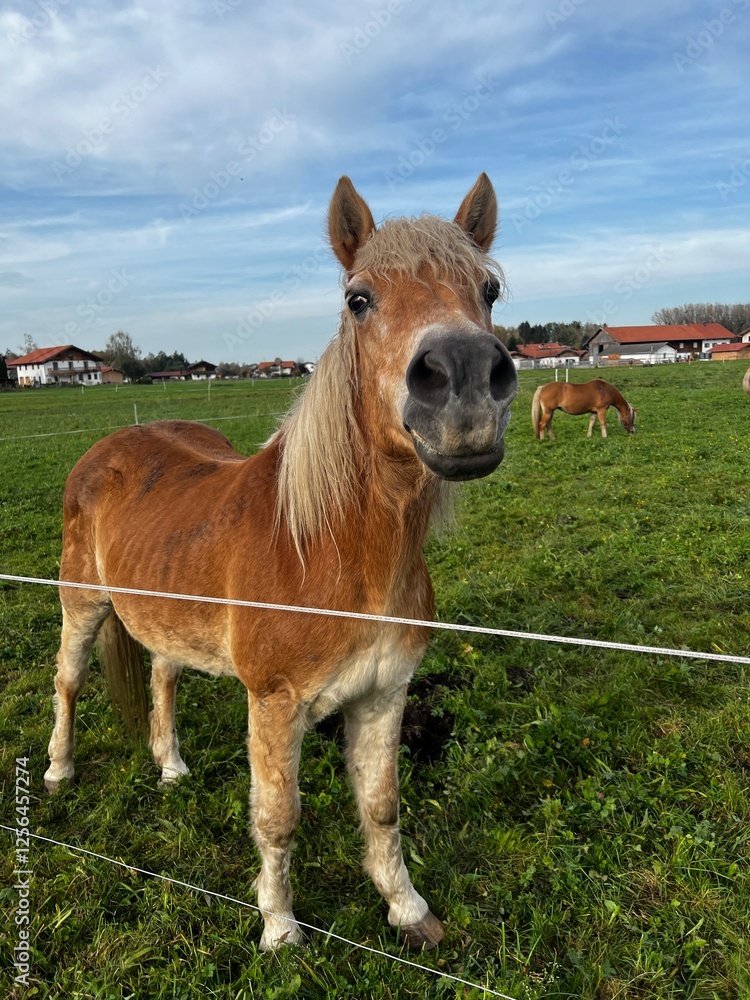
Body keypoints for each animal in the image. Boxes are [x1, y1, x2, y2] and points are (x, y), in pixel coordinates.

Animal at [44, 174, 518, 952]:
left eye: (490, 289)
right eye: (358, 298)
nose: (467, 383)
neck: (332, 552)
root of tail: (110, 445)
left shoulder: (383, 697)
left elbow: (382, 806)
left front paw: (408, 911)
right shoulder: (274, 704)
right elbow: (278, 817)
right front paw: (279, 928)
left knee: (164, 674)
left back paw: (171, 765)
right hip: (81, 604)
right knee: (68, 681)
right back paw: (58, 769)